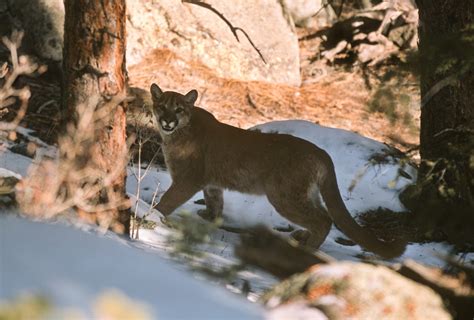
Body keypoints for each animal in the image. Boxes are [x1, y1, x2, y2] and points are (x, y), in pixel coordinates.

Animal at [151, 84, 404, 258]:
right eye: (162, 106)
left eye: (178, 109)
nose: (167, 121)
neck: (176, 134)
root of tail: (321, 151)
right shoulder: (212, 184)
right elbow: (215, 204)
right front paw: (208, 218)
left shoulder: (188, 180)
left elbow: (169, 200)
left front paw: (153, 214)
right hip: (303, 193)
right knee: (323, 213)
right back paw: (301, 236)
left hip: (284, 196)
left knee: (323, 219)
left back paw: (306, 249)